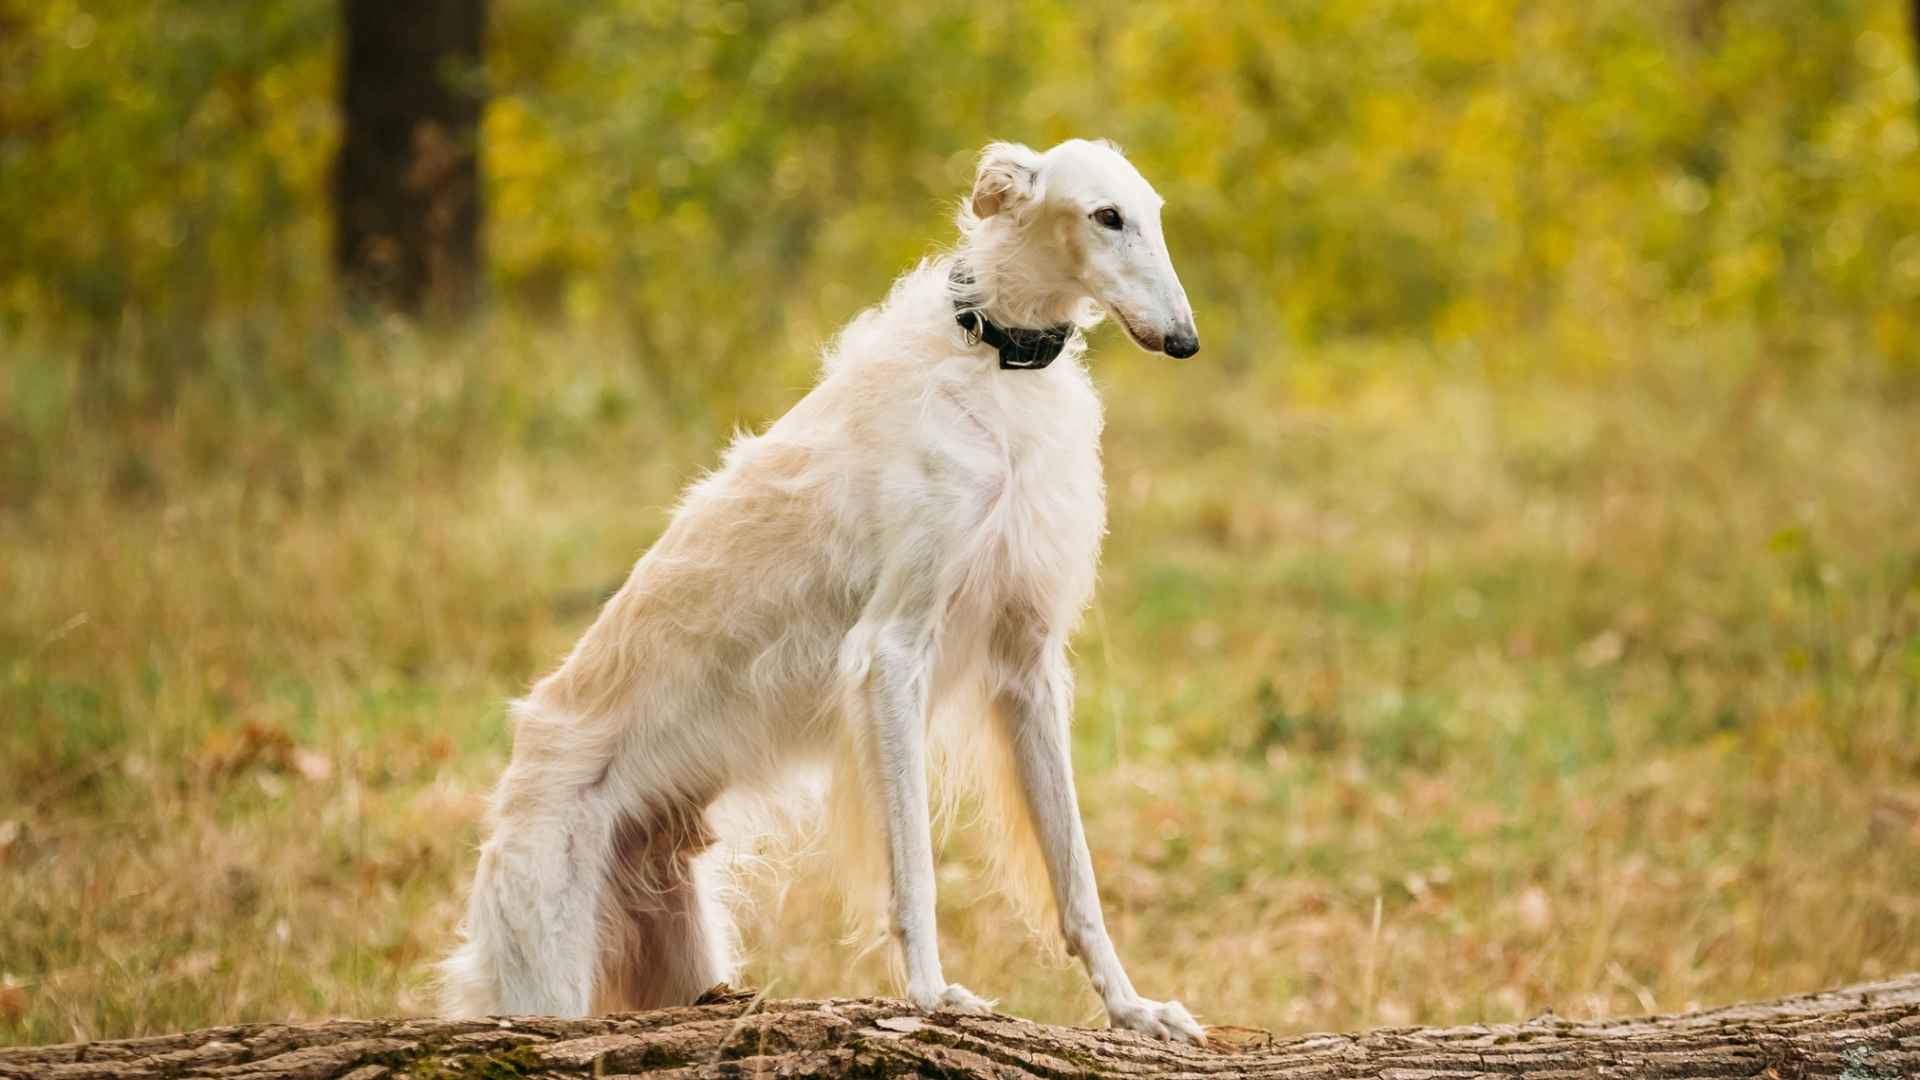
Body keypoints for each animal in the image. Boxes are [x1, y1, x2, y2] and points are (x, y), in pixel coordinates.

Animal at [441, 138, 1205, 1037]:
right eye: (1105, 216)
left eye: (1152, 212)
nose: (1186, 341)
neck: (991, 356)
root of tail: (521, 775)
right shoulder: (891, 653)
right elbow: (916, 871)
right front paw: (931, 994)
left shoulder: (1026, 664)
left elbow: (1078, 879)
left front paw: (1134, 1010)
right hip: (550, 967)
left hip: (678, 945)